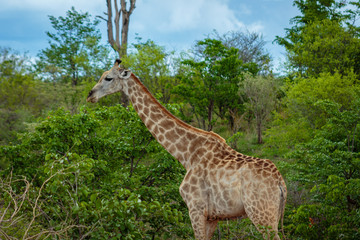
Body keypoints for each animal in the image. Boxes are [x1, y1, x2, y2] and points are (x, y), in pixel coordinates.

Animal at [86, 59, 286, 239]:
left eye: (108, 78)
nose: (90, 96)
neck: (187, 154)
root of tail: (280, 183)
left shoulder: (195, 208)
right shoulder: (213, 216)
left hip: (261, 214)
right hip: (273, 216)